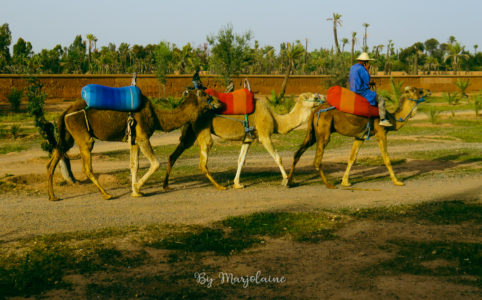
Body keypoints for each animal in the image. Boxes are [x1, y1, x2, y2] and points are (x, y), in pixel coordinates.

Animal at [45, 89, 222, 202]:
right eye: (205, 94)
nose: (220, 102)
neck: (157, 117)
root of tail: (66, 111)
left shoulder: (134, 140)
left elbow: (134, 165)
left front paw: (136, 191)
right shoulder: (143, 137)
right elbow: (155, 163)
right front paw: (137, 188)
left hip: (68, 135)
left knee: (54, 158)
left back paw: (53, 197)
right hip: (81, 132)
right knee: (86, 165)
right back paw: (106, 194)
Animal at [162, 92, 324, 190]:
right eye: (313, 97)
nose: (322, 97)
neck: (275, 119)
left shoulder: (247, 139)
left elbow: (241, 160)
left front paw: (237, 184)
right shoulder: (264, 135)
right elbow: (278, 157)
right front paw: (287, 180)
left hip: (190, 130)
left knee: (174, 154)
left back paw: (166, 185)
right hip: (202, 128)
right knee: (203, 160)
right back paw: (220, 186)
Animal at [284, 85, 432, 188]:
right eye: (418, 90)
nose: (428, 91)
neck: (392, 119)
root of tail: (315, 111)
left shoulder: (360, 137)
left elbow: (352, 158)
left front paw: (345, 182)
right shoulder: (381, 133)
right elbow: (386, 158)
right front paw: (397, 181)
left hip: (312, 133)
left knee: (297, 153)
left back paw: (289, 182)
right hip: (323, 132)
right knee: (316, 160)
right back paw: (328, 184)